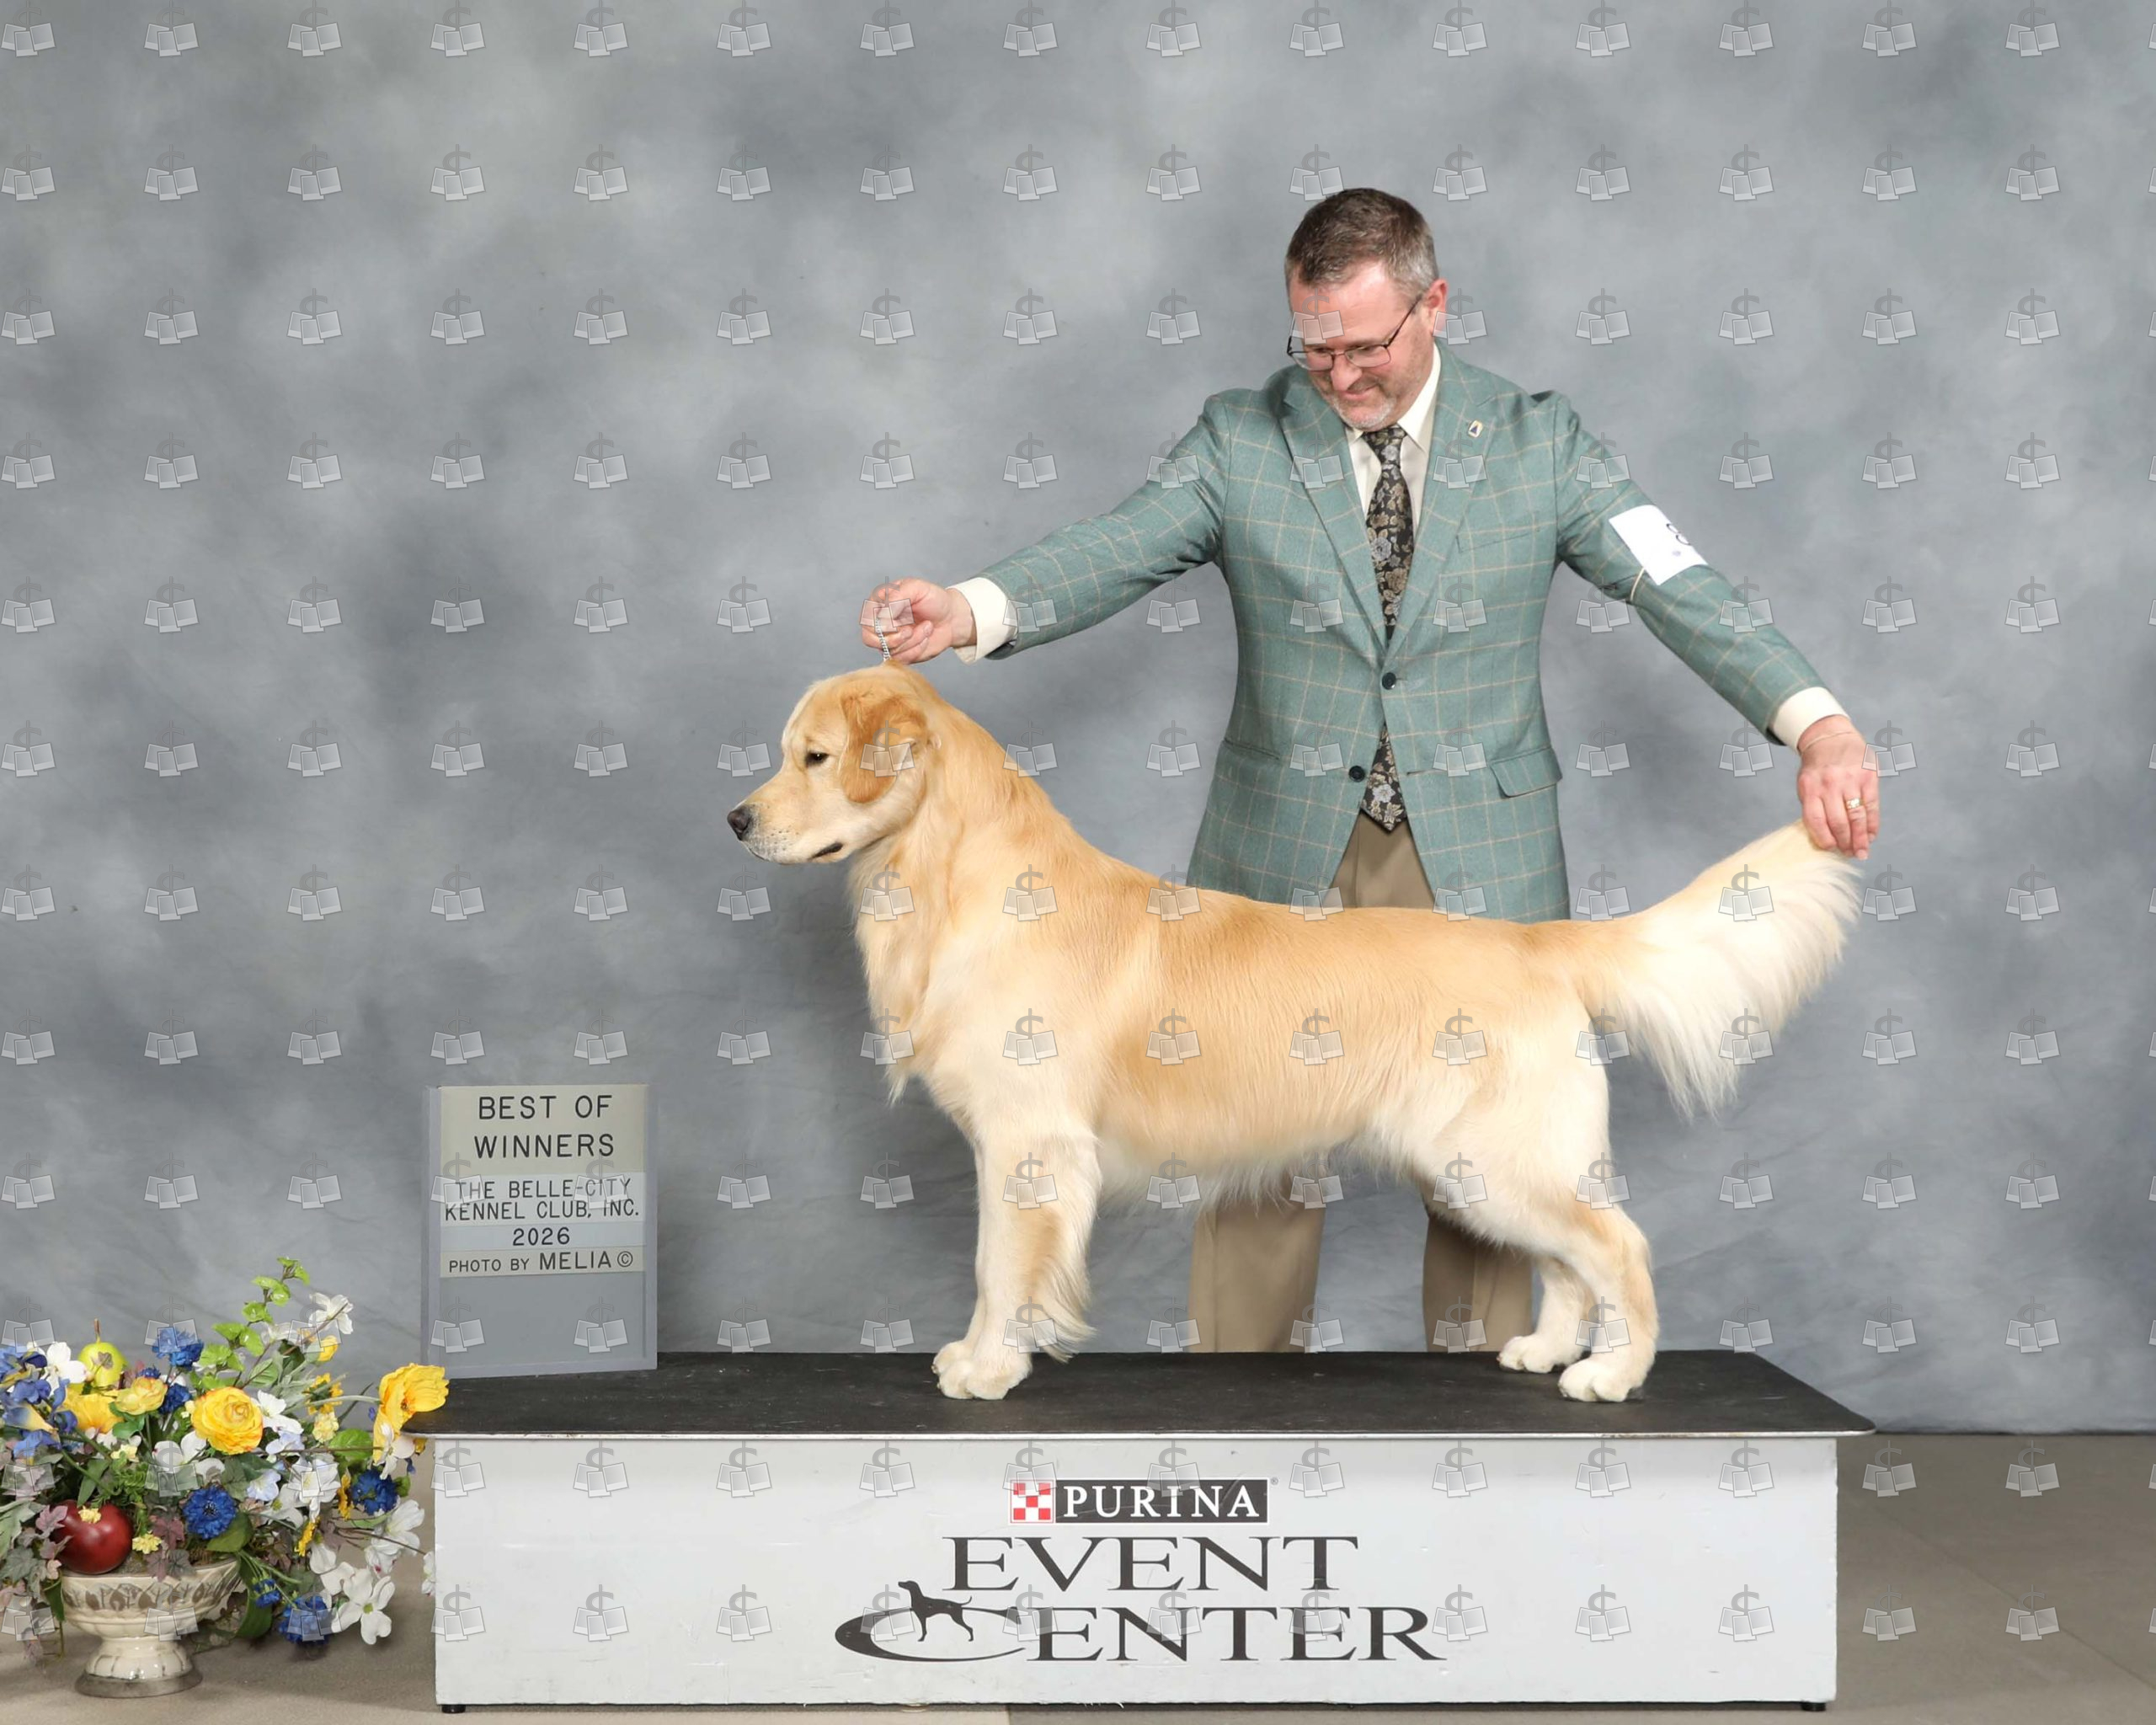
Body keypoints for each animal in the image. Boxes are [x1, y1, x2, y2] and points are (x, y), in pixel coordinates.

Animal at [729, 663, 1863, 1404]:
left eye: (814, 756)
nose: (736, 820)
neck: (948, 880)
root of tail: (1539, 941)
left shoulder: (1028, 1142)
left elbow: (999, 1265)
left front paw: (986, 1364)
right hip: (1486, 1164)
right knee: (1569, 1261)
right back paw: (1545, 1350)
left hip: (1496, 1153)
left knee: (1617, 1245)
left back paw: (1613, 1372)